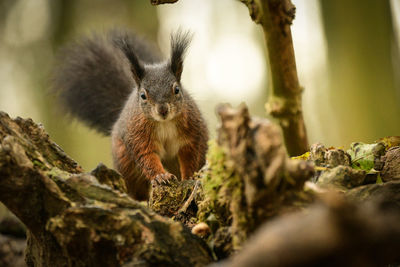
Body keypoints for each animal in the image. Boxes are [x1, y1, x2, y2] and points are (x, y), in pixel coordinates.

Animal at [52, 29, 208, 201]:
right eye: (143, 95)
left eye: (177, 90)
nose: (162, 110)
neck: (164, 122)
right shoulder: (137, 133)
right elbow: (146, 156)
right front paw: (161, 176)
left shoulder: (192, 132)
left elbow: (190, 157)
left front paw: (189, 177)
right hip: (126, 165)